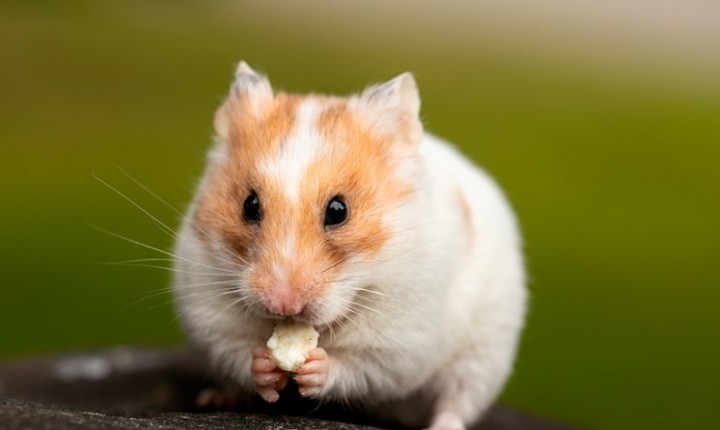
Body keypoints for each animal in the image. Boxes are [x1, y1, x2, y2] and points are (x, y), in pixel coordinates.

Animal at [173, 61, 527, 430]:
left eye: (338, 210)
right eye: (249, 205)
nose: (283, 305)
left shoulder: (398, 342)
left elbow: (357, 367)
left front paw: (315, 367)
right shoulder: (211, 315)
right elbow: (239, 352)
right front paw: (266, 366)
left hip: (484, 356)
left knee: (457, 400)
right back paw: (216, 398)